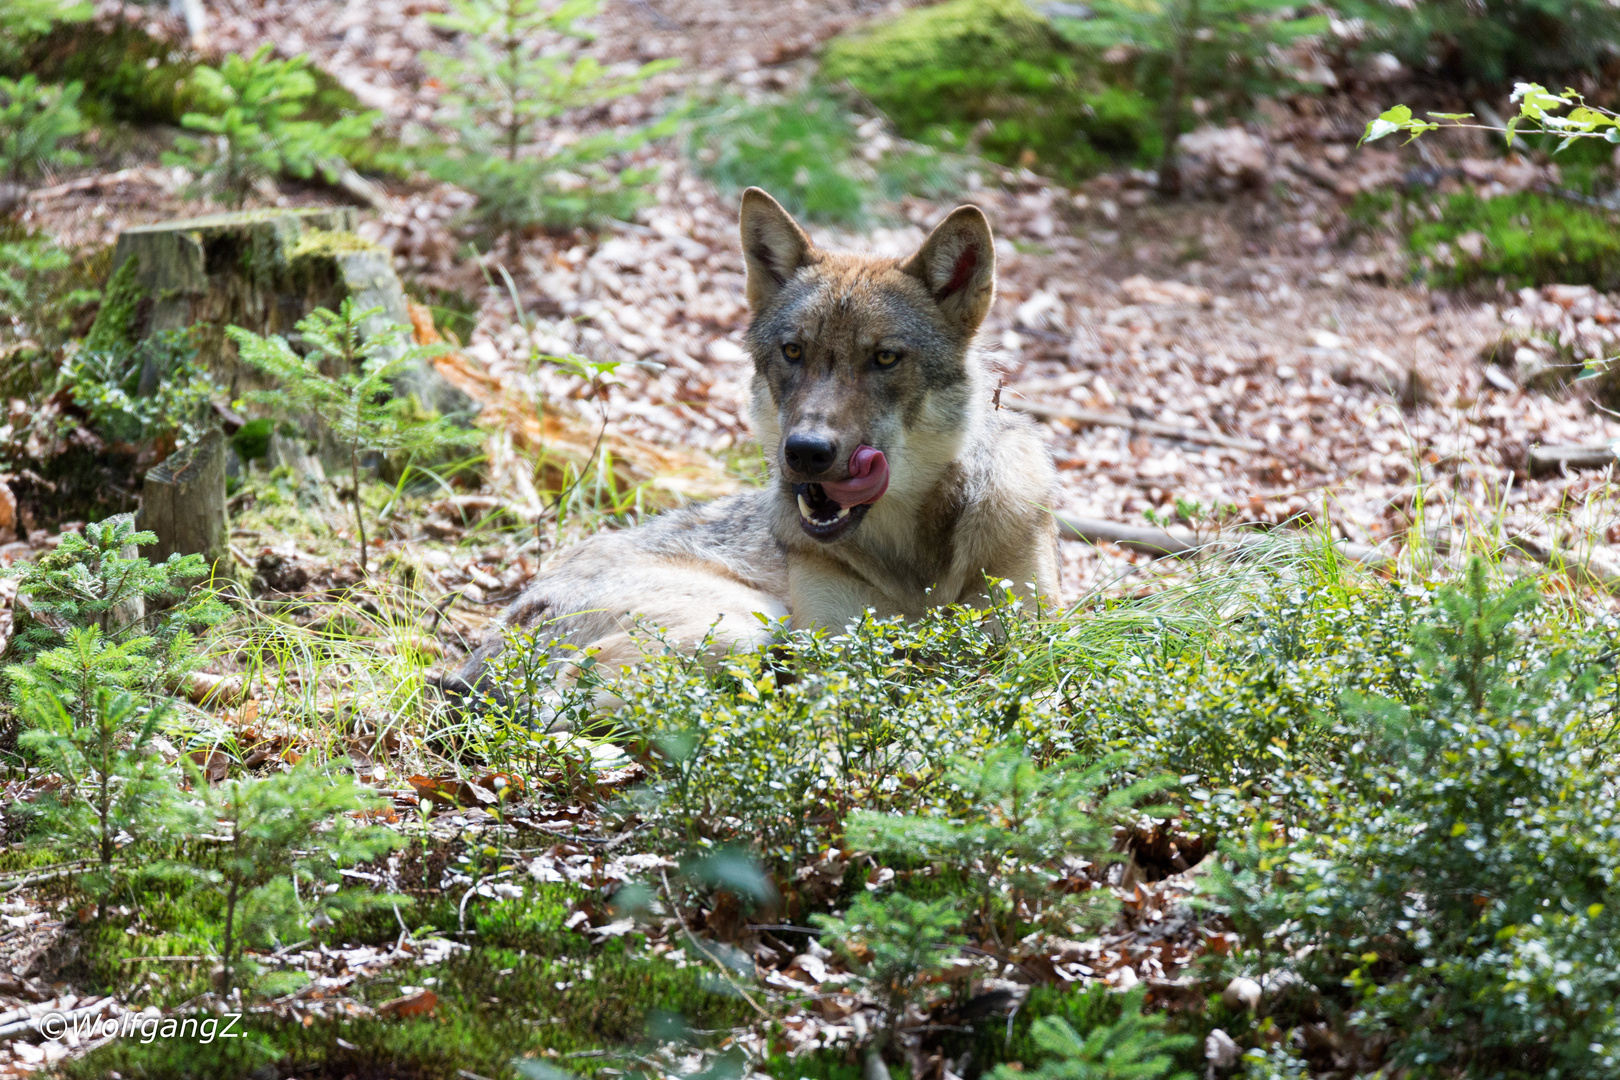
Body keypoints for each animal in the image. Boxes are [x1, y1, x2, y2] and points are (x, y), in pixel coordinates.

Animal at [450, 189, 1062, 702]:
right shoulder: (834, 654)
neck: (914, 569)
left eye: (885, 358)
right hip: (750, 624)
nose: (806, 451)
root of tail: (470, 664)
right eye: (793, 352)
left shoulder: (1036, 645)